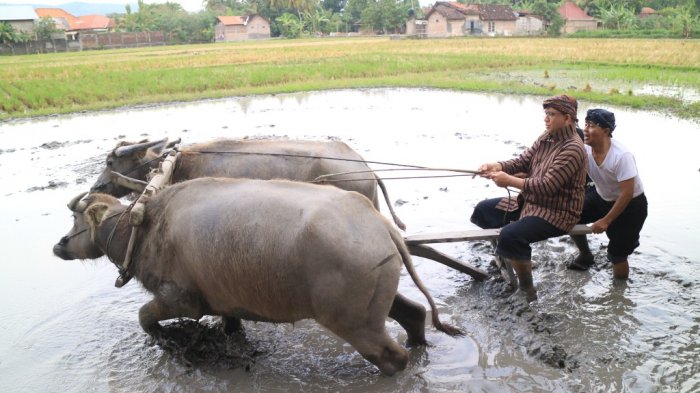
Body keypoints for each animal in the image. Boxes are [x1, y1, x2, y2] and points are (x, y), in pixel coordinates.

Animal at [54, 178, 464, 374]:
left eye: (75, 218)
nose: (59, 245)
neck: (144, 228)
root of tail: (380, 224)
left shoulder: (181, 299)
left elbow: (144, 317)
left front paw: (166, 339)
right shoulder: (225, 299)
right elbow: (232, 326)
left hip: (355, 322)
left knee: (391, 357)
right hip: (377, 298)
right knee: (413, 313)